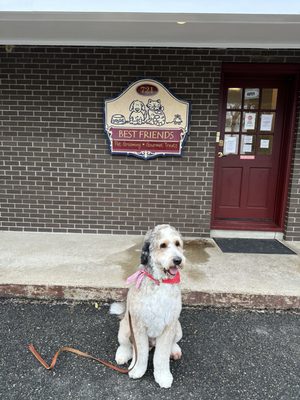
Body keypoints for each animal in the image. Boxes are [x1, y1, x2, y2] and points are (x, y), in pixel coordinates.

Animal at [110, 225, 185, 388]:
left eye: (177, 244)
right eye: (163, 245)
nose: (178, 260)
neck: (160, 282)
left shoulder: (169, 325)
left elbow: (161, 356)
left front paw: (163, 376)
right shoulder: (138, 325)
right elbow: (141, 353)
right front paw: (137, 370)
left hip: (178, 328)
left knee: (173, 342)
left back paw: (174, 350)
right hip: (125, 327)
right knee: (126, 345)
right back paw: (123, 354)